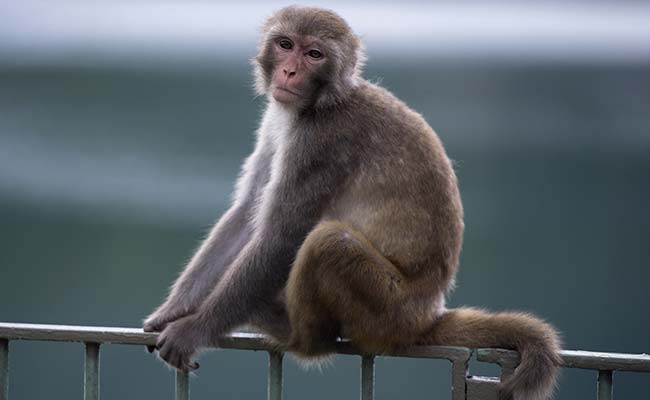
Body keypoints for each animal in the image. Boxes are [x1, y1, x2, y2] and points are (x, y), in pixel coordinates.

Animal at [143, 6, 561, 400]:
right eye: (285, 45)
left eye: (314, 54)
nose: (289, 72)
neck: (321, 103)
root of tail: (429, 314)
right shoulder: (278, 122)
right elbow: (247, 214)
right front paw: (173, 309)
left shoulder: (321, 142)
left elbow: (280, 237)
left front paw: (193, 330)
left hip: (389, 309)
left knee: (330, 243)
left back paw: (295, 334)